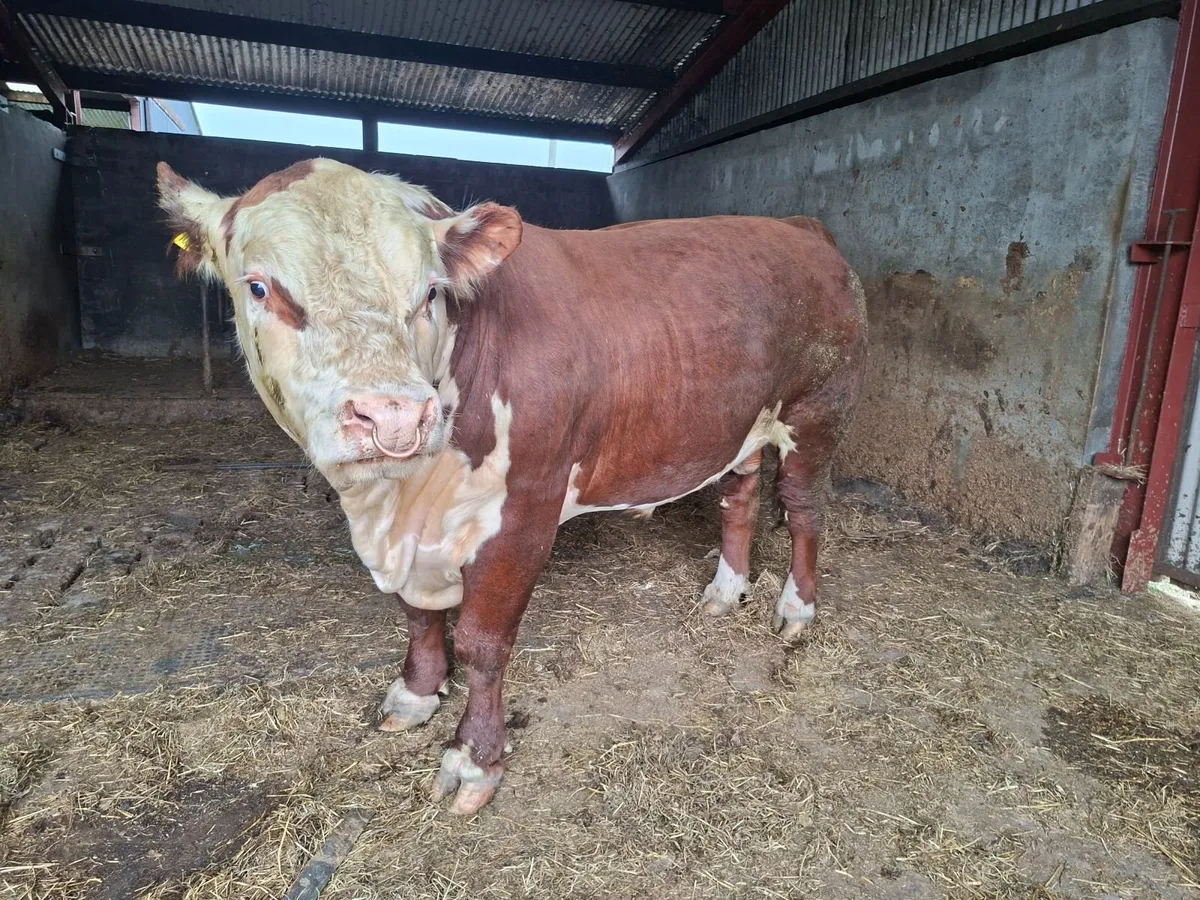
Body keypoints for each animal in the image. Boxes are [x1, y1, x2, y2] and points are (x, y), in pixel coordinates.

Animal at [156, 158, 867, 815]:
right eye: (258, 287)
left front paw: (474, 759)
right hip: (741, 423)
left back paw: (795, 610)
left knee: (804, 509)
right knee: (738, 498)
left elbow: (482, 643)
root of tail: (798, 226)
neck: (398, 505)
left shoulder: (525, 510)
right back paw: (725, 591)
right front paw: (416, 693)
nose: (393, 413)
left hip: (817, 412)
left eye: (432, 291)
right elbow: (417, 615)